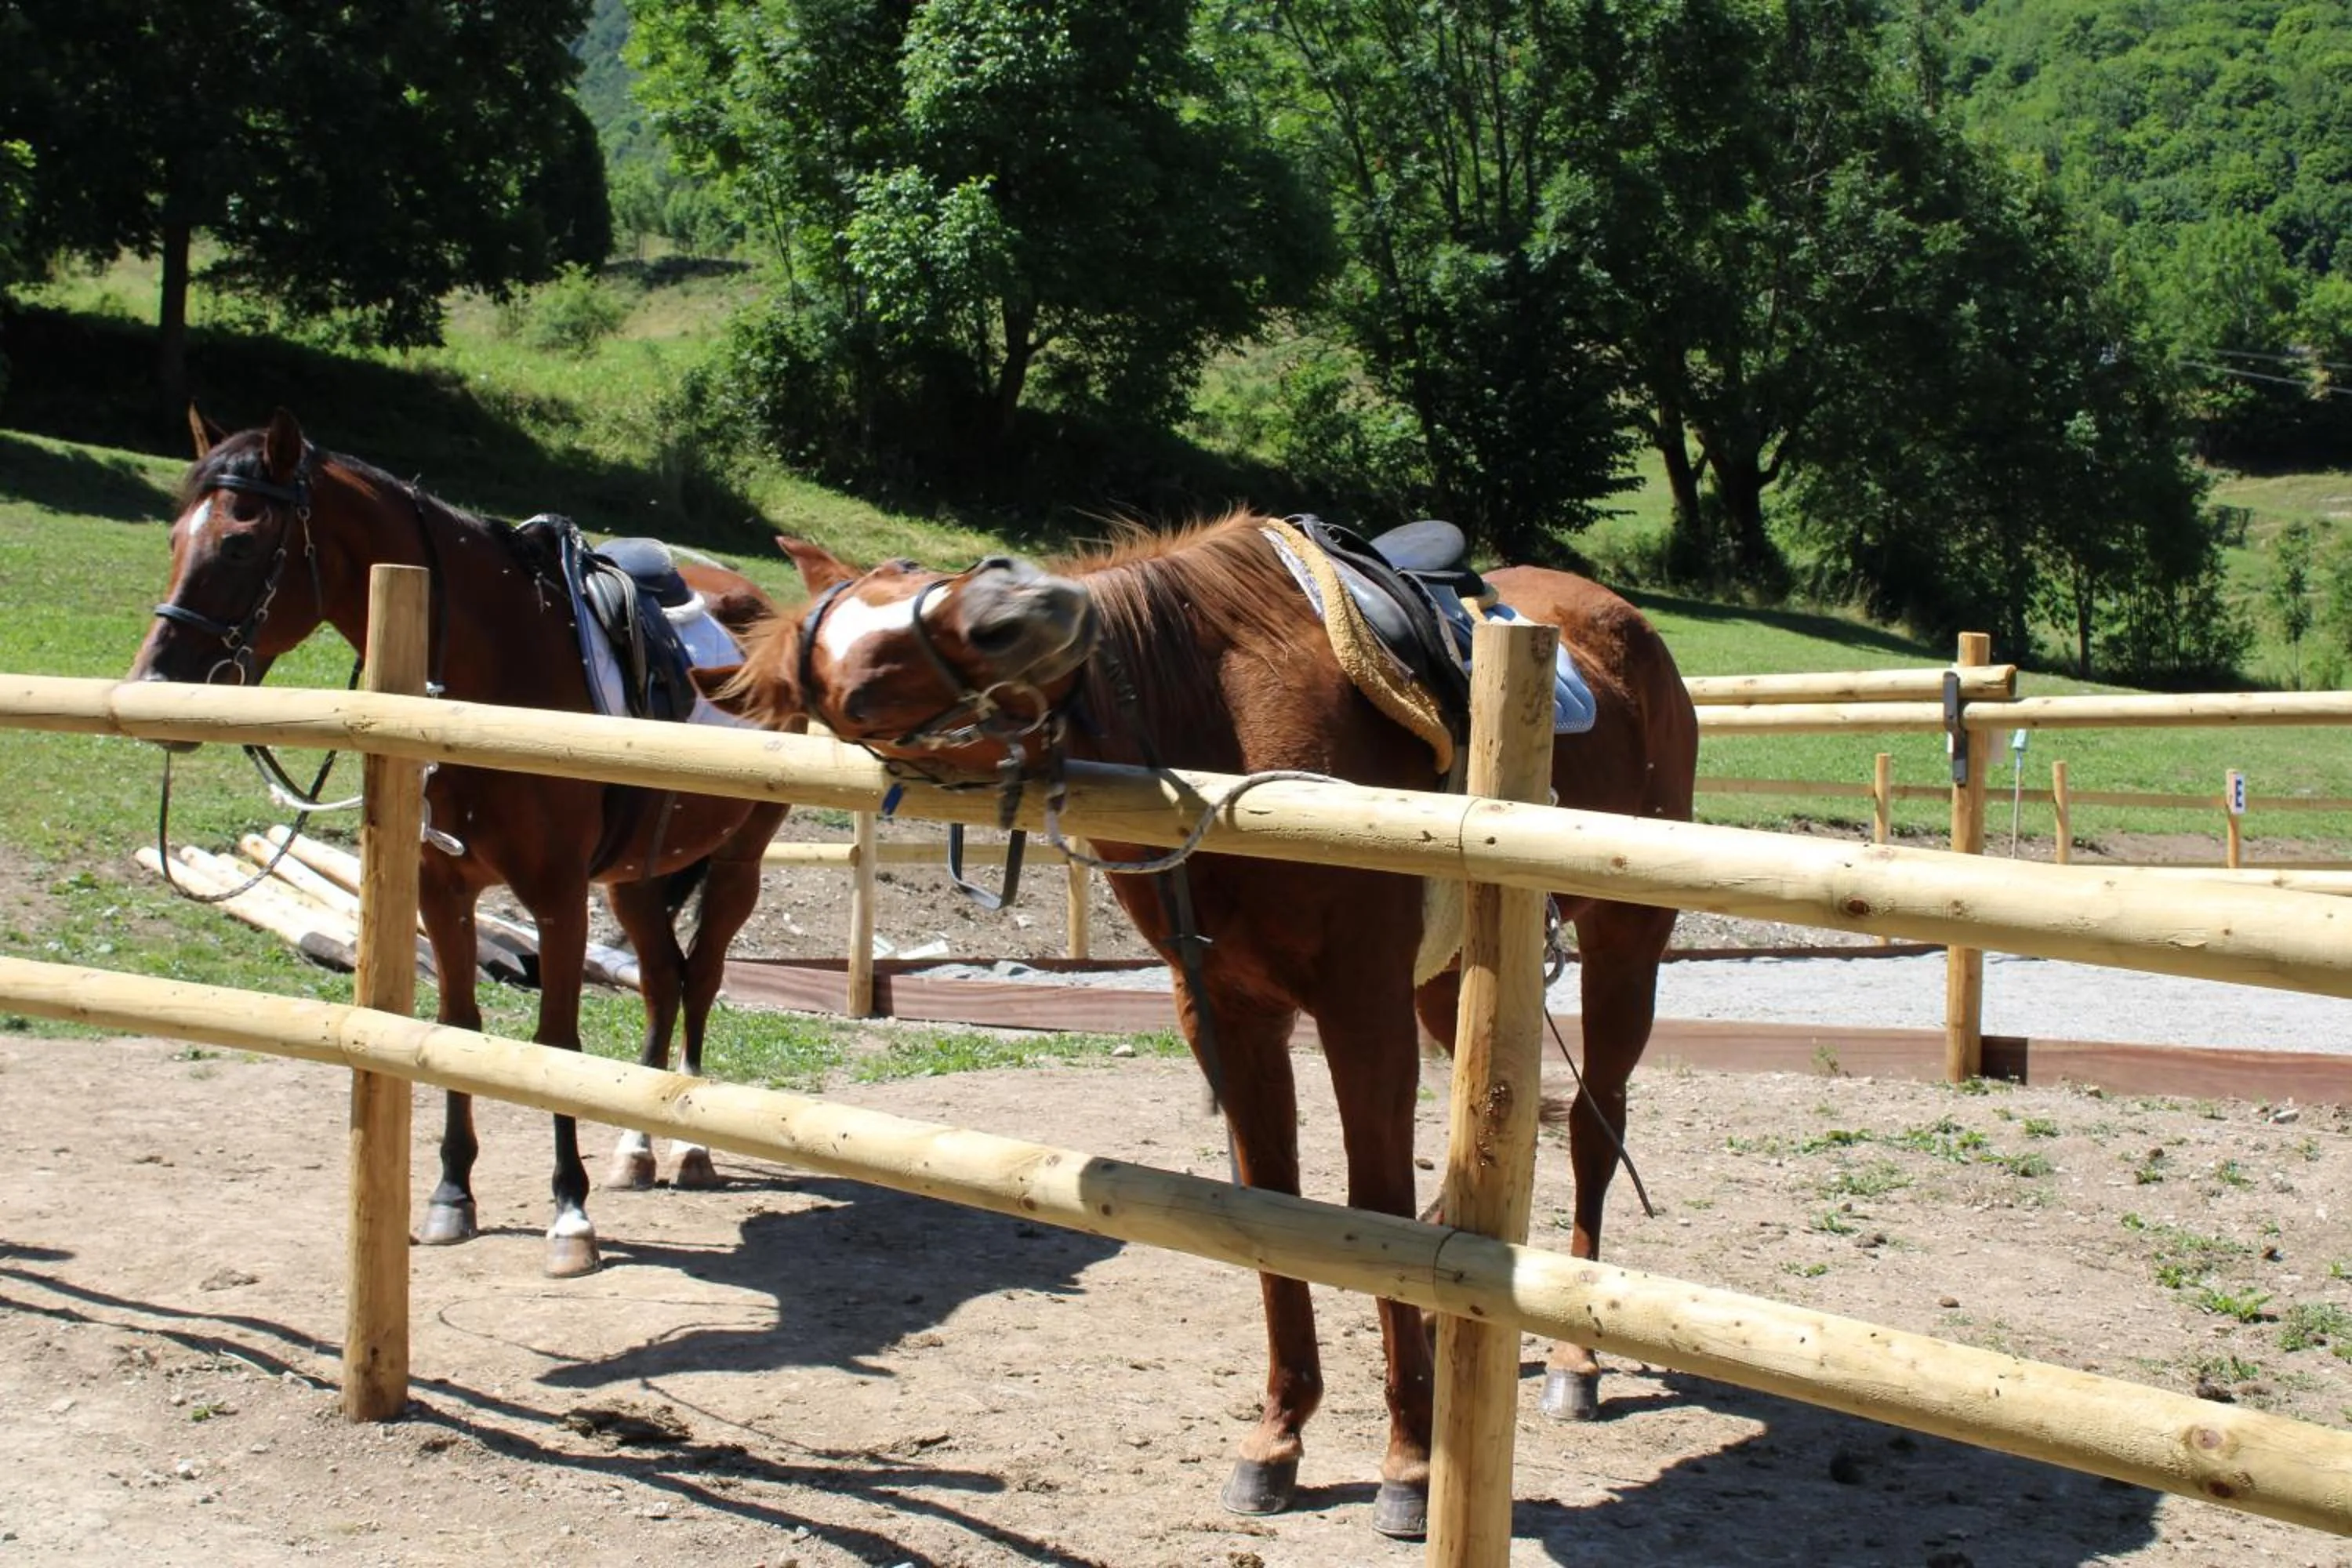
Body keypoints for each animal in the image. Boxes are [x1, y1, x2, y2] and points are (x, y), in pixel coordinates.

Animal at [128, 407, 791, 1278]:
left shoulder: (556, 894)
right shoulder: (443, 888)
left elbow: (555, 1040)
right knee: (660, 980)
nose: (153, 685)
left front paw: (569, 1214)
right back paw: (639, 1146)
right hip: (635, 880)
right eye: (174, 538)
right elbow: (457, 1028)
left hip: (738, 863)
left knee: (703, 977)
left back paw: (688, 1147)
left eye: (239, 543)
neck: (500, 668)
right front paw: (451, 1195)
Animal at [702, 519, 1698, 1539]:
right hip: (1451, 979)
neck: (1213, 720)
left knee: (1594, 1124)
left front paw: (1413, 1462)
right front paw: (1279, 1437)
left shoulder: (1361, 1004)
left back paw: (1576, 1361)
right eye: (858, 693)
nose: (1021, 604)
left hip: (1624, 939)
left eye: (914, 572)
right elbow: (1270, 1207)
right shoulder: (1229, 1008)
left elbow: (1373, 1209)